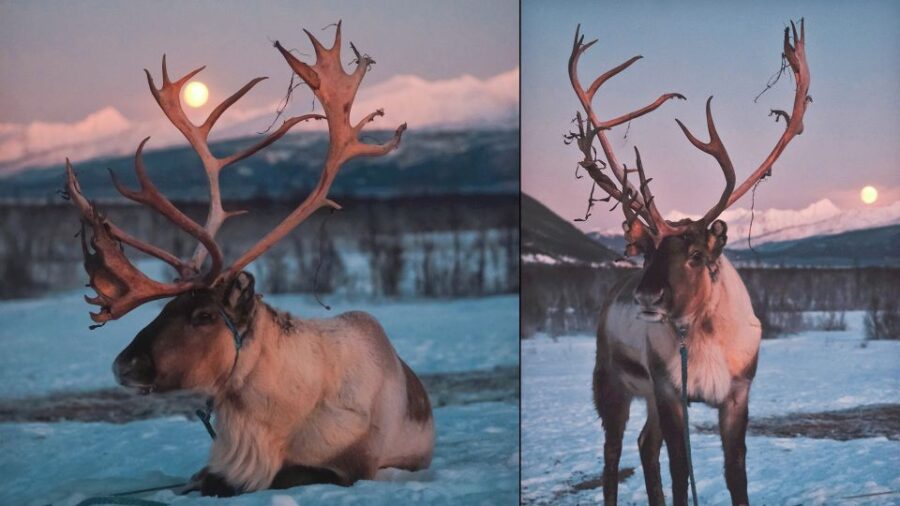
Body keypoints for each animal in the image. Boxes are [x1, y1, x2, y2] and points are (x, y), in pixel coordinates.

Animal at [63, 23, 434, 497]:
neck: (268, 418)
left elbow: (285, 475)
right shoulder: (217, 464)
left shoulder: (348, 467)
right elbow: (198, 479)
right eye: (165, 307)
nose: (122, 365)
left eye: (203, 315)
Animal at [565, 20, 810, 506]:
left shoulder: (736, 394)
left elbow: (736, 474)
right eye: (649, 252)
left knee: (645, 445)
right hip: (612, 383)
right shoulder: (670, 392)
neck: (703, 335)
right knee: (613, 454)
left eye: (696, 255)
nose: (647, 295)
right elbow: (681, 472)